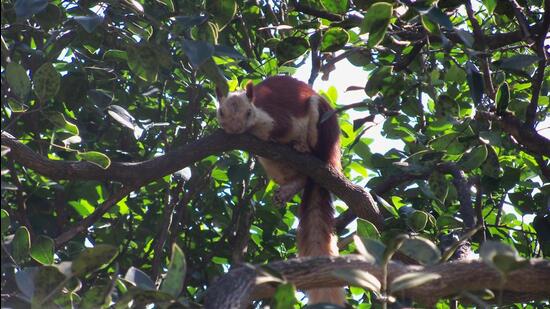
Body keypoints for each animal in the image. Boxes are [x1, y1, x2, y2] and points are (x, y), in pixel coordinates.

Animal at [216, 76, 344, 304]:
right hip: (271, 163)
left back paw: (304, 147)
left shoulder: (280, 119)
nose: (235, 129)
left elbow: (278, 129)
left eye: (248, 113)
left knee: (315, 148)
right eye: (221, 112)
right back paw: (288, 189)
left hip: (322, 126)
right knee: (301, 178)